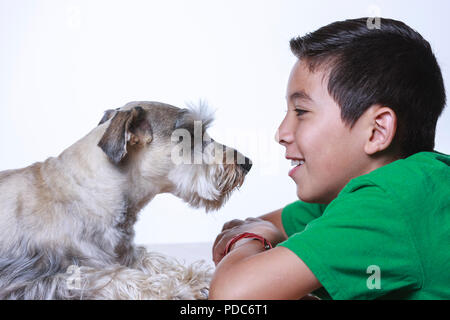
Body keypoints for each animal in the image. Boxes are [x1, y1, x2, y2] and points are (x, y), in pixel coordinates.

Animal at [0, 101, 251, 298]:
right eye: (189, 134)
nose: (246, 162)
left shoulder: (129, 255)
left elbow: (158, 262)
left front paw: (198, 275)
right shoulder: (56, 275)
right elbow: (123, 278)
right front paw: (179, 288)